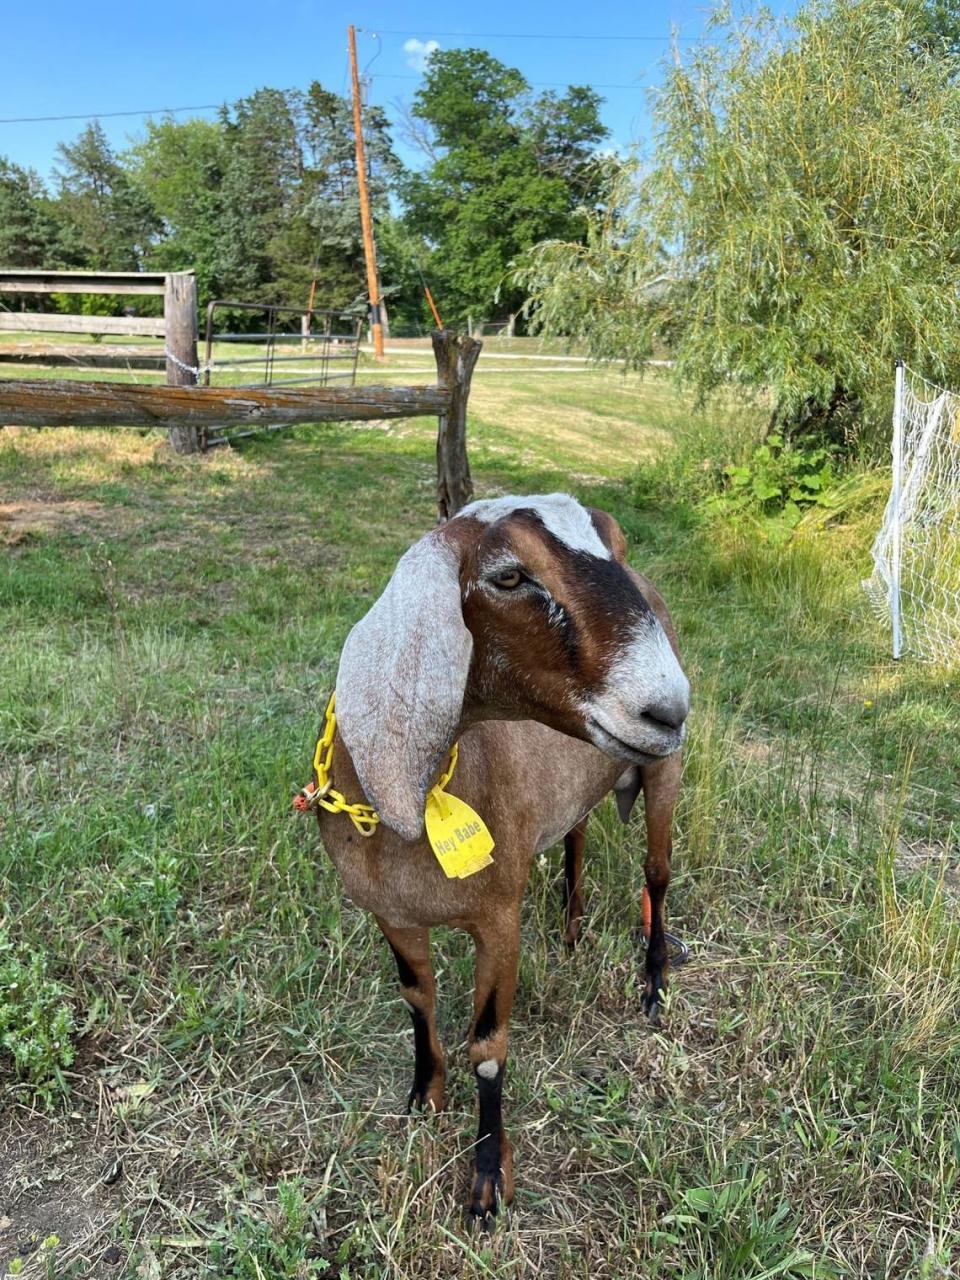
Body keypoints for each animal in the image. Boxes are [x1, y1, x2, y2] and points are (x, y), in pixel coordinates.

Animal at [309, 488, 691, 1218]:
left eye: (615, 547)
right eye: (509, 576)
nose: (668, 709)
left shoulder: (499, 918)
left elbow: (488, 1047)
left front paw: (488, 1179)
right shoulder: (391, 915)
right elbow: (417, 997)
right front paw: (424, 1095)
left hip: (665, 772)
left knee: (656, 873)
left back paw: (653, 982)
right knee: (576, 833)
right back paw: (571, 927)